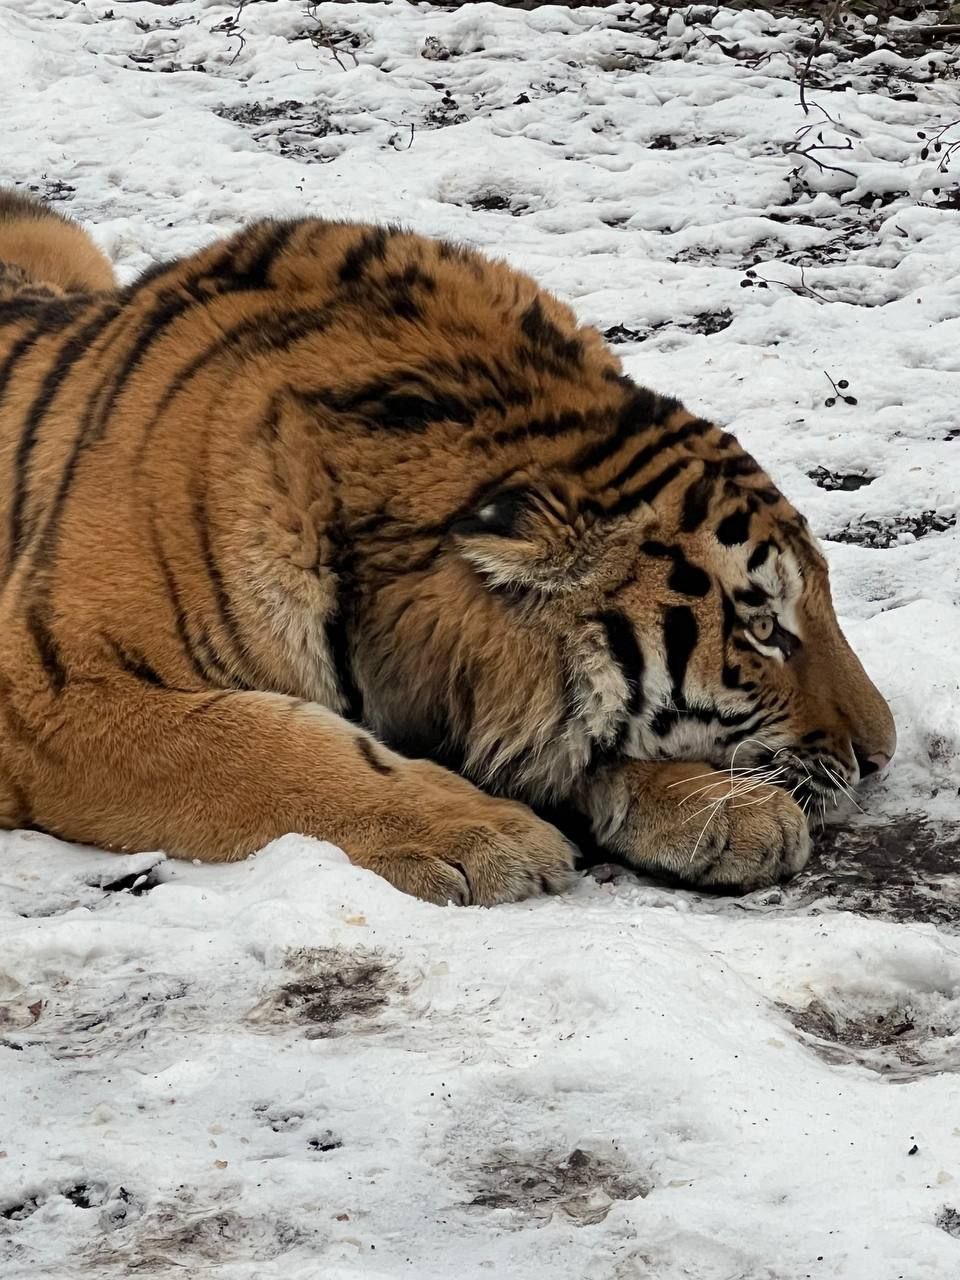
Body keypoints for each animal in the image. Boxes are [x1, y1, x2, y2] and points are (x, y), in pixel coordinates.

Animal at [0, 194, 901, 906]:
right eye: (763, 630)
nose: (882, 756)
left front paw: (728, 809)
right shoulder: (53, 685)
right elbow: (264, 745)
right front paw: (482, 837)